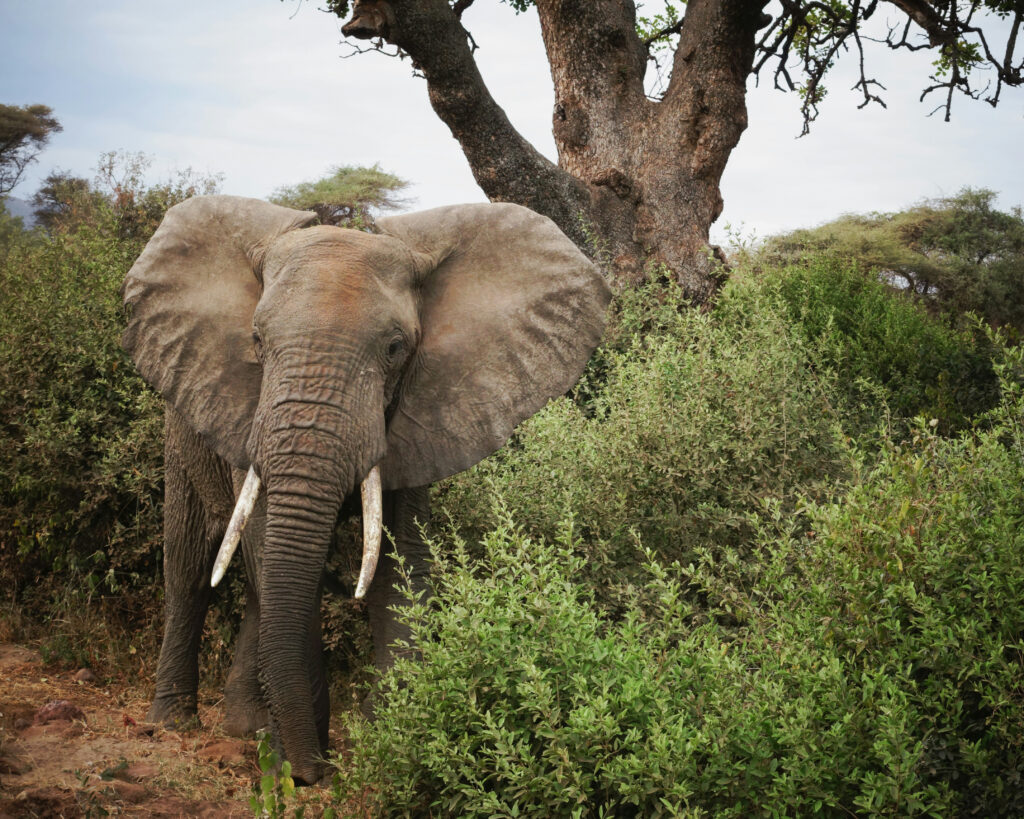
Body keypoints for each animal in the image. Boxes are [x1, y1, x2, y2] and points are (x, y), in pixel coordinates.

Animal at [120, 195, 610, 784]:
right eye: (257, 341)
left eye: (396, 348)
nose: (313, 773)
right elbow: (272, 551)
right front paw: (301, 765)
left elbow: (399, 564)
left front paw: (390, 740)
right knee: (191, 565)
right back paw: (174, 723)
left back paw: (246, 728)